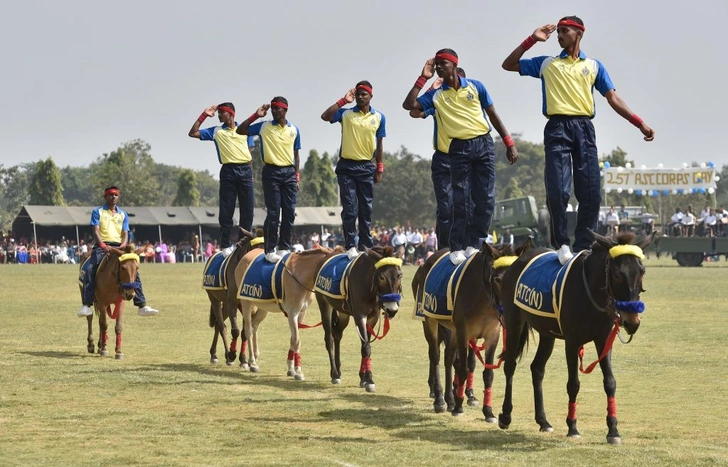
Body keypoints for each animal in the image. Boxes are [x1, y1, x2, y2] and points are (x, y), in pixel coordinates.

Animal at [203, 229, 264, 368]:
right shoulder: (232, 302)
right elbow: (235, 330)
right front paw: (232, 354)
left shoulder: (246, 304)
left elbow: (245, 331)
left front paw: (243, 359)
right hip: (215, 299)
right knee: (221, 326)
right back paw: (222, 354)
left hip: (226, 305)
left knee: (217, 325)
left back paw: (216, 353)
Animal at [233, 249, 338, 380]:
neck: (300, 276)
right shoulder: (292, 314)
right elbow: (296, 340)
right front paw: (298, 371)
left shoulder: (301, 313)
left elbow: (292, 340)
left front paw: (291, 368)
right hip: (246, 302)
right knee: (248, 330)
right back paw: (252, 362)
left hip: (263, 307)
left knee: (254, 326)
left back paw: (255, 357)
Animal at [314, 247, 404, 394]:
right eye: (382, 277)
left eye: (400, 275)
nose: (392, 310)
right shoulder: (360, 316)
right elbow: (366, 346)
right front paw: (370, 380)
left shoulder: (373, 317)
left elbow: (365, 345)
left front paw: (364, 378)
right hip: (324, 305)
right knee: (329, 339)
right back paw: (334, 373)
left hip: (343, 313)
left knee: (337, 334)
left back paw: (338, 370)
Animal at [412, 241, 532, 416]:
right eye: (498, 279)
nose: (512, 309)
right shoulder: (463, 332)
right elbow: (463, 368)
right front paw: (459, 406)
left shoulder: (492, 335)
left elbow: (487, 373)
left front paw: (488, 411)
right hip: (430, 322)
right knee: (435, 356)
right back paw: (440, 398)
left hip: (453, 331)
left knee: (448, 357)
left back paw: (449, 398)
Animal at [498, 232, 656, 444]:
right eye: (616, 273)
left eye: (642, 271)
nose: (632, 321)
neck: (590, 294)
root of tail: (518, 260)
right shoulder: (572, 342)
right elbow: (573, 384)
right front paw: (572, 426)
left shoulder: (603, 339)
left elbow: (610, 382)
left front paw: (613, 430)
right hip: (514, 321)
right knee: (510, 365)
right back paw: (505, 415)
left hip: (547, 333)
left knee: (537, 369)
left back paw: (543, 420)